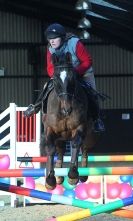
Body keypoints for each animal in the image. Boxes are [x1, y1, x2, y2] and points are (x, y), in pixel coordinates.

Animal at [41, 52, 100, 190]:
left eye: (72, 78)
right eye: (55, 79)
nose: (67, 109)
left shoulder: (80, 127)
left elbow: (75, 145)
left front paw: (73, 175)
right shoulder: (50, 129)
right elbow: (51, 149)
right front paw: (50, 180)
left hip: (90, 135)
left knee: (84, 149)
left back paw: (82, 174)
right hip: (61, 137)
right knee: (60, 150)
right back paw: (58, 176)